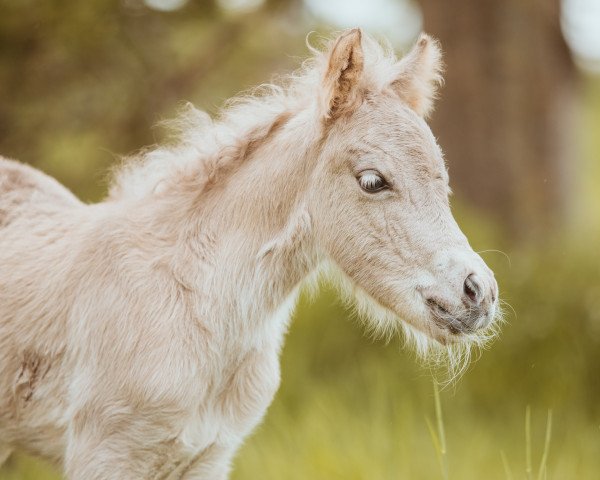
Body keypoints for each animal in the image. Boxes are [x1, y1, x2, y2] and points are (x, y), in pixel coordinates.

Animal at [0, 30, 496, 480]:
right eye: (373, 180)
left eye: (442, 179)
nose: (479, 293)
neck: (192, 306)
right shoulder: (105, 455)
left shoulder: (208, 458)